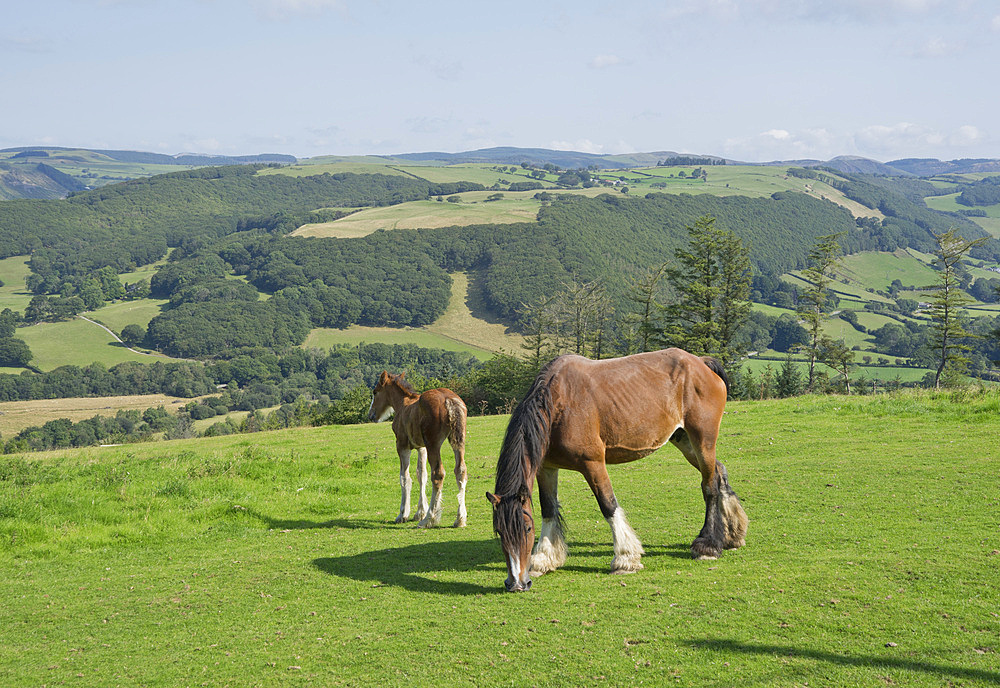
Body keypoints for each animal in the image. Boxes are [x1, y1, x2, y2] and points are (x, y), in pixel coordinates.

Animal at [370, 370, 470, 528]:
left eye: (375, 392)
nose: (371, 414)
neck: (402, 404)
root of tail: (449, 400)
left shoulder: (402, 446)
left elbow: (405, 478)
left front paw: (403, 514)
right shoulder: (421, 447)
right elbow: (421, 475)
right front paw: (419, 512)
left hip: (433, 444)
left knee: (438, 474)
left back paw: (429, 519)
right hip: (458, 441)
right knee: (460, 470)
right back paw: (459, 519)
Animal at [488, 350, 748, 592]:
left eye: (527, 528)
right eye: (499, 531)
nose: (517, 583)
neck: (558, 404)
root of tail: (701, 363)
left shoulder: (592, 463)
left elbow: (608, 505)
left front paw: (625, 558)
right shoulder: (546, 467)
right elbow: (549, 509)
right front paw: (544, 559)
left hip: (703, 440)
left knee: (710, 485)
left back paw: (708, 545)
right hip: (684, 439)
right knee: (719, 473)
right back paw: (732, 533)